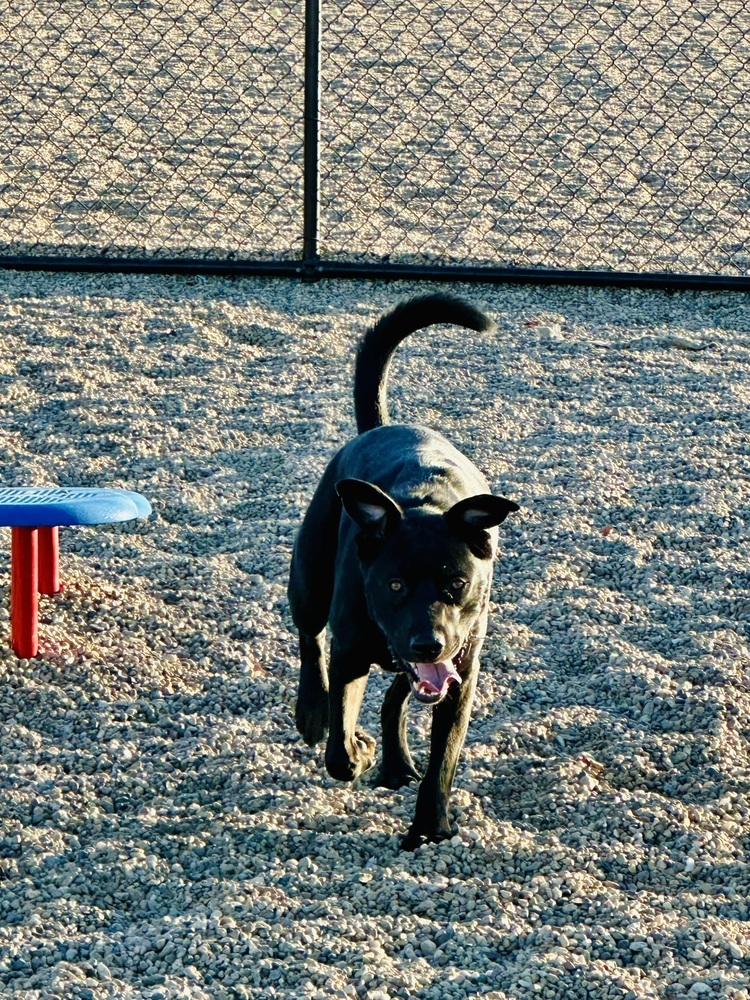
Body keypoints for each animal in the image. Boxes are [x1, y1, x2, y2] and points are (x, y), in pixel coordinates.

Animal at [290, 292, 520, 848]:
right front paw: (352, 750)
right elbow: (339, 737)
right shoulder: (350, 654)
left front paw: (430, 826)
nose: (427, 643)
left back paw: (396, 763)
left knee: (397, 692)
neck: (424, 506)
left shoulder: (460, 675)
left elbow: (443, 761)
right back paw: (312, 711)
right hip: (309, 577)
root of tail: (380, 427)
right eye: (393, 584)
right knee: (309, 637)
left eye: (457, 583)